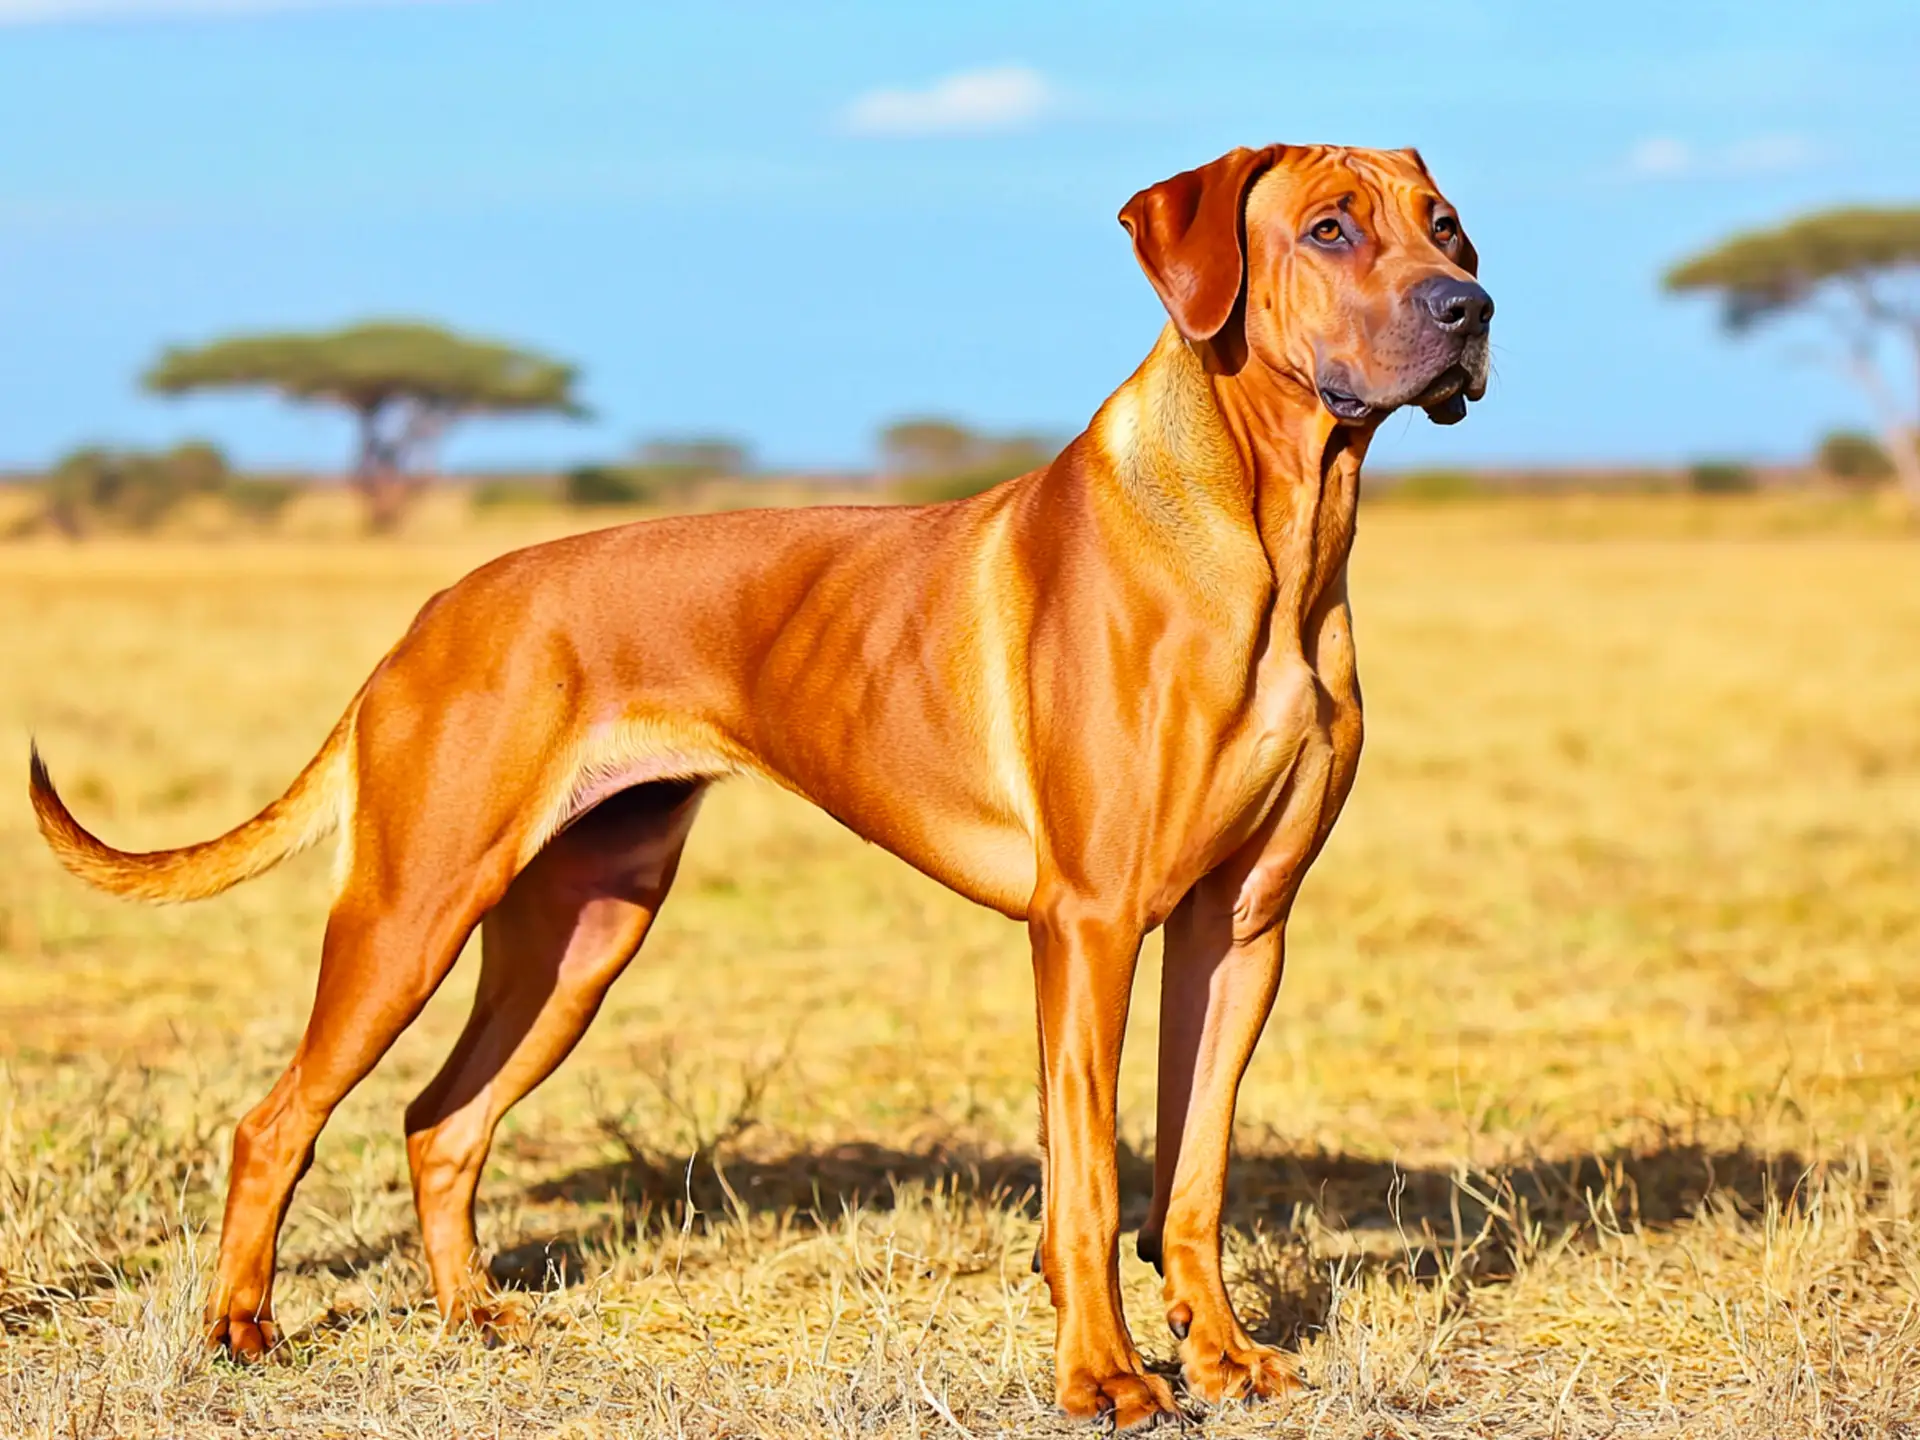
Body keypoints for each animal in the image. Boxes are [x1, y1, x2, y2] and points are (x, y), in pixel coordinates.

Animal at [37, 144, 1489, 1436]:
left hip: (578, 940)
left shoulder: (1238, 928)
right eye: (1330, 231)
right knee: (274, 1121)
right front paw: (1104, 1382)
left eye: (1448, 228)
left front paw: (1225, 1359)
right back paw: (240, 1329)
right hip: (411, 911)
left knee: (440, 1122)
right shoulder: (1088, 922)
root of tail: (433, 613)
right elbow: (1085, 1177)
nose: (1471, 309)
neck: (1275, 533)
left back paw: (473, 1319)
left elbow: (1192, 1176)